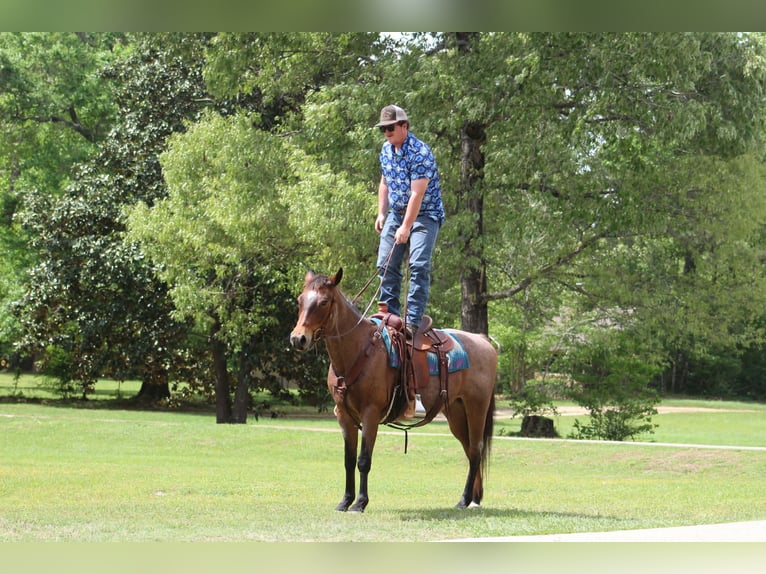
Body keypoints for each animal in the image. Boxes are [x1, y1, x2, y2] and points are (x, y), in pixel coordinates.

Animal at [289, 268, 497, 512]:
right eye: (300, 300)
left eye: (323, 302)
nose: (298, 339)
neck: (360, 349)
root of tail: (482, 341)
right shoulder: (344, 415)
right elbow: (348, 460)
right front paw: (345, 500)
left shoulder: (370, 413)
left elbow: (363, 460)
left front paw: (360, 503)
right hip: (456, 412)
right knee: (469, 449)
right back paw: (474, 498)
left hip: (476, 408)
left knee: (475, 450)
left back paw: (465, 499)